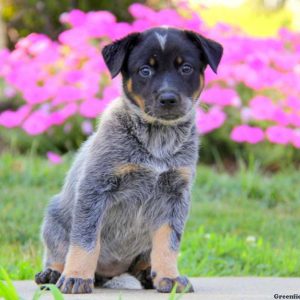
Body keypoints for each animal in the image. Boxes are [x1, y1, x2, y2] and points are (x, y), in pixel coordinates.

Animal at [35, 27, 223, 294]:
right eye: (145, 70)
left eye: (186, 68)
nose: (168, 98)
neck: (157, 140)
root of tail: (108, 274)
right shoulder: (95, 188)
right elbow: (85, 241)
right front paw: (77, 277)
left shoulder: (176, 195)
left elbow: (169, 243)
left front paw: (170, 277)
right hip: (53, 220)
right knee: (58, 253)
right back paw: (53, 273)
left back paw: (148, 275)